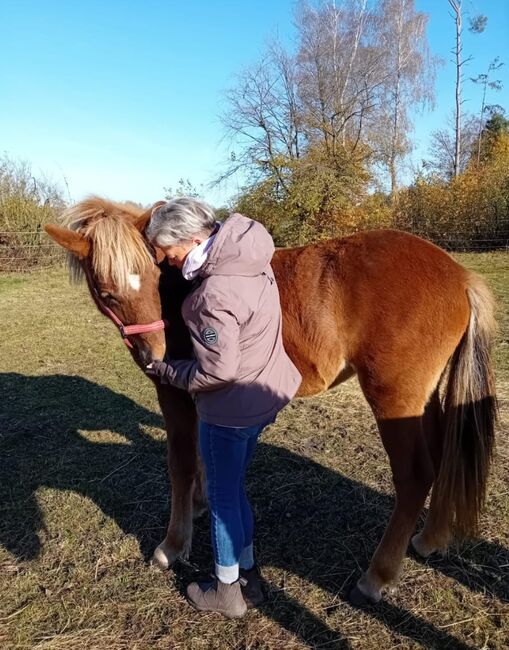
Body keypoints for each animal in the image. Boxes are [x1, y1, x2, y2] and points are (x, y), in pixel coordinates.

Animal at [44, 196, 496, 604]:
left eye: (155, 278)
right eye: (108, 293)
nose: (157, 356)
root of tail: (460, 275)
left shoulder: (175, 394)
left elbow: (181, 462)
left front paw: (172, 545)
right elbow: (204, 456)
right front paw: (201, 503)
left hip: (395, 400)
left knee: (415, 475)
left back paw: (377, 577)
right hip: (428, 401)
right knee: (443, 458)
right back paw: (429, 538)